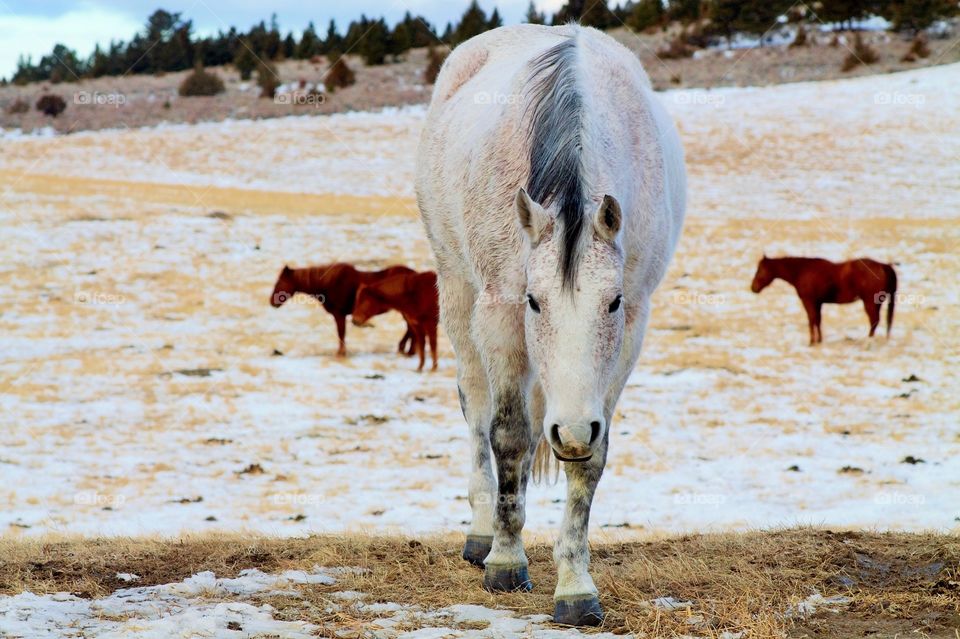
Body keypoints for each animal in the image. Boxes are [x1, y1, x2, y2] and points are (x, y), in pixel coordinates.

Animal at [272, 262, 418, 358]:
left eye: (280, 281)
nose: (272, 301)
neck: (329, 284)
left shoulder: (339, 315)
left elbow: (341, 333)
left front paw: (341, 353)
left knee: (412, 329)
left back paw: (407, 350)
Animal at [416, 23, 688, 624]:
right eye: (533, 302)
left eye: (612, 303)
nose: (572, 430)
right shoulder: (499, 310)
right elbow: (509, 436)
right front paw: (505, 562)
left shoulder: (632, 328)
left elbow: (591, 462)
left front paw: (576, 588)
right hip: (456, 288)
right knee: (477, 407)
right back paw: (481, 533)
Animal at [752, 255, 900, 344]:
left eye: (760, 270)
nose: (753, 287)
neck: (802, 271)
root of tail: (883, 265)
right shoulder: (818, 303)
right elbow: (818, 320)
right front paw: (819, 340)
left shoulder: (809, 301)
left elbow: (811, 320)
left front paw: (812, 342)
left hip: (869, 303)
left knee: (874, 321)